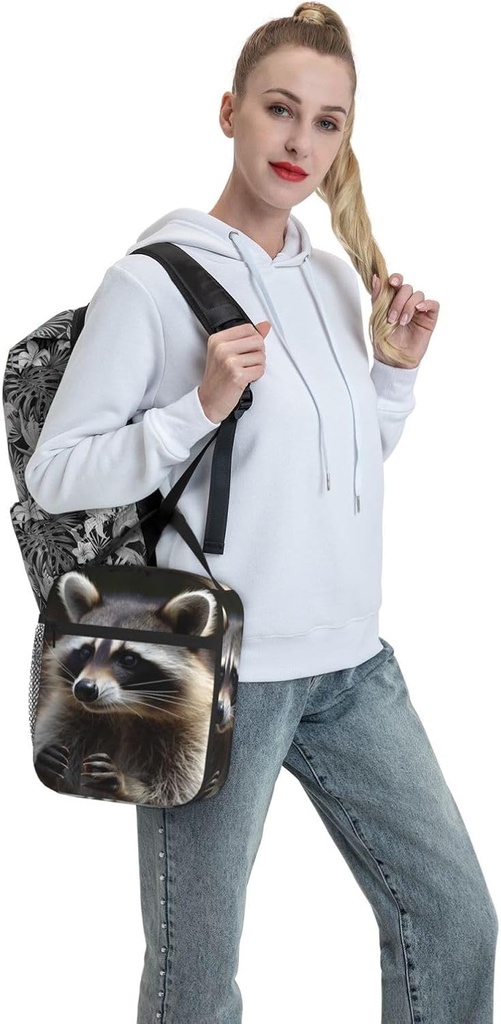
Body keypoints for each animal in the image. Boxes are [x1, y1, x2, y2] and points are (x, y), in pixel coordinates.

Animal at [33, 570, 238, 806]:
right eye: (86, 652)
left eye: (128, 659)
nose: (84, 689)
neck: (123, 713)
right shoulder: (66, 717)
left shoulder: (191, 736)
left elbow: (178, 787)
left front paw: (129, 787)